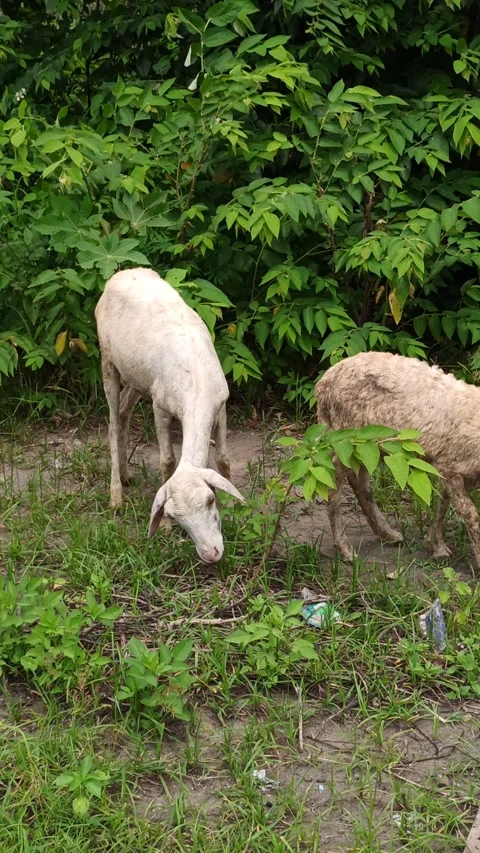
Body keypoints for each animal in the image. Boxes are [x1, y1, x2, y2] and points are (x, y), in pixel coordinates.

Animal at [95, 267, 245, 564]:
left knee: (124, 412)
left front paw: (235, 509)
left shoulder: (221, 405)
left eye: (210, 500)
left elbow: (223, 459)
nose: (210, 554)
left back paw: (126, 475)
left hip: (138, 377)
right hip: (108, 360)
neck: (195, 389)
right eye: (176, 517)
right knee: (113, 423)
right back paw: (116, 495)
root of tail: (122, 273)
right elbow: (167, 460)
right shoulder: (161, 408)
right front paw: (163, 527)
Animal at [315, 351, 480, 571]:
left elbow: (444, 502)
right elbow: (470, 514)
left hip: (366, 445)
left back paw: (389, 535)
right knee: (333, 484)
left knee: (359, 483)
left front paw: (435, 546)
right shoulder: (450, 465)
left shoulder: (458, 469)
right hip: (347, 438)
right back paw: (346, 551)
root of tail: (324, 382)